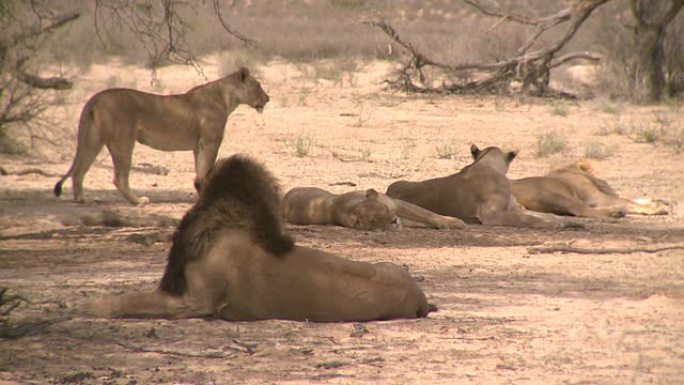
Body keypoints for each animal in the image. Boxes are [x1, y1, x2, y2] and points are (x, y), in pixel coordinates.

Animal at [52, 67, 270, 204]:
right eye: (258, 86)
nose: (268, 98)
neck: (226, 98)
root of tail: (96, 97)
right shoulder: (211, 141)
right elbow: (207, 169)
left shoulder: (198, 145)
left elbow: (200, 171)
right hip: (123, 141)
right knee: (119, 178)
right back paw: (138, 201)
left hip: (93, 140)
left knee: (79, 170)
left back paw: (80, 199)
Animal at [388, 144, 580, 228]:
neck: (485, 163)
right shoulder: (492, 215)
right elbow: (531, 219)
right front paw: (555, 224)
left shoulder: (513, 208)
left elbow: (545, 214)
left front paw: (565, 221)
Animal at [512, 159, 668, 218]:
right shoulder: (599, 198)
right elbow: (629, 201)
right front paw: (657, 208)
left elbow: (634, 199)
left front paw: (658, 201)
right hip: (552, 195)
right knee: (580, 210)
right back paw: (615, 213)